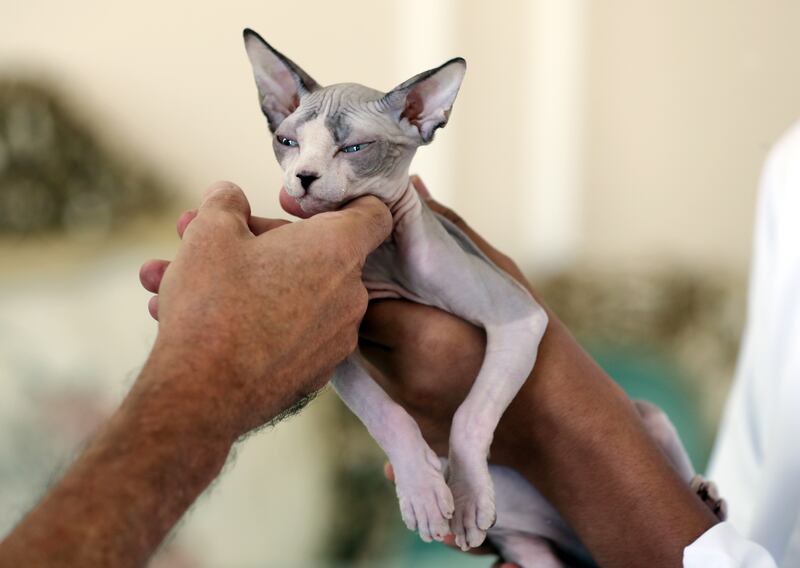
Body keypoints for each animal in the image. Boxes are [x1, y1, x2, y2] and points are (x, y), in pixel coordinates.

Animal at [244, 28, 724, 564]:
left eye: (354, 147)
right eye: (286, 141)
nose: (303, 177)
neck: (382, 259)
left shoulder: (520, 317)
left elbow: (469, 414)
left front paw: (469, 495)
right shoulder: (333, 341)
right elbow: (384, 413)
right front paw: (423, 490)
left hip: (645, 416)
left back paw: (705, 492)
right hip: (527, 546)